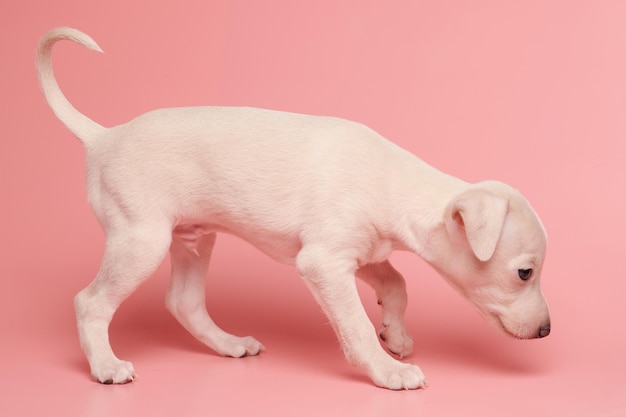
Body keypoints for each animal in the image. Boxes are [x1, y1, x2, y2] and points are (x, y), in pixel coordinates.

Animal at [36, 27, 548, 388]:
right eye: (525, 272)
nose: (546, 332)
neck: (392, 180)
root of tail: (103, 136)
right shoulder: (323, 264)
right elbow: (355, 325)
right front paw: (388, 370)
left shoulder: (364, 254)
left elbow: (397, 284)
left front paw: (396, 335)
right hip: (142, 241)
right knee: (90, 302)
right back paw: (105, 365)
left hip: (194, 240)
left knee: (183, 302)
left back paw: (228, 345)